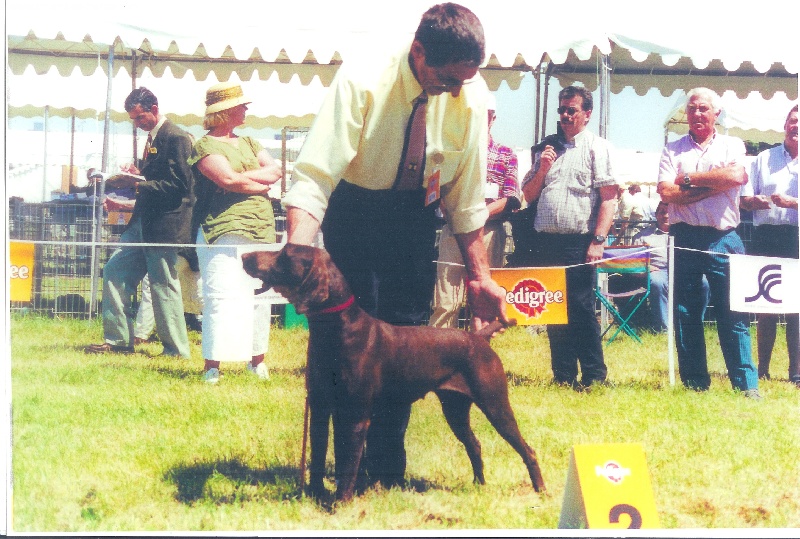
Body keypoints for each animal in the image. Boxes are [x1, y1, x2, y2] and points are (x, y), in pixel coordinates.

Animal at [244, 245, 544, 502]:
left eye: (284, 254)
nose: (245, 256)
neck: (337, 331)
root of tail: (478, 337)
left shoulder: (356, 416)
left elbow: (348, 465)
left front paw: (340, 504)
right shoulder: (321, 407)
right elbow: (319, 457)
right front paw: (316, 496)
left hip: (495, 405)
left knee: (527, 449)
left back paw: (540, 490)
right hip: (455, 409)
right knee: (475, 445)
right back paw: (478, 485)